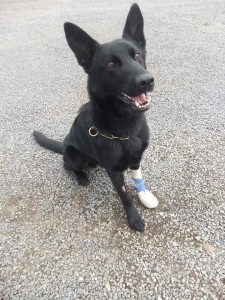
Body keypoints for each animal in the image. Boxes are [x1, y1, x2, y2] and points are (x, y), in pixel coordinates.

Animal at [33, 2, 157, 232]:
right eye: (110, 64)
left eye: (137, 55)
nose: (147, 80)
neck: (125, 125)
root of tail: (64, 144)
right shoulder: (114, 172)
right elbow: (124, 196)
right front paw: (133, 217)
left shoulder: (136, 158)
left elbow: (138, 180)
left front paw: (144, 196)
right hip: (76, 156)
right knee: (67, 165)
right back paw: (81, 176)